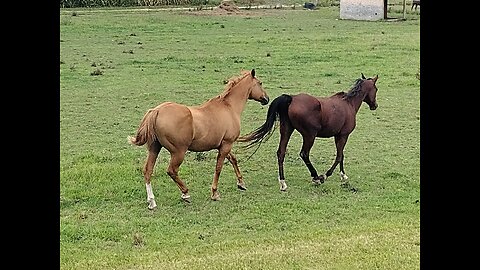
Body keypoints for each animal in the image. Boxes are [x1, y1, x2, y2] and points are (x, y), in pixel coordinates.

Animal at [129, 69, 268, 209]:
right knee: (172, 171)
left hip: (154, 148)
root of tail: (156, 111)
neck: (229, 108)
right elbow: (219, 167)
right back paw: (185, 193)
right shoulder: (226, 144)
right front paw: (215, 193)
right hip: (178, 152)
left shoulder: (223, 146)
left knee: (148, 170)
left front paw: (241, 183)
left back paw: (152, 201)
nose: (266, 99)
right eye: (260, 83)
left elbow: (233, 159)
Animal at [238, 74, 376, 191]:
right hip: (309, 135)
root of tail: (291, 98)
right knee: (304, 154)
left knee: (281, 153)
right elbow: (338, 157)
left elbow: (341, 155)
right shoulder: (343, 135)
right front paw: (326, 176)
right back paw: (316, 177)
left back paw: (283, 183)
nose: (375, 105)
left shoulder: (339, 136)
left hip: (287, 131)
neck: (348, 104)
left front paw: (343, 175)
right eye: (376, 89)